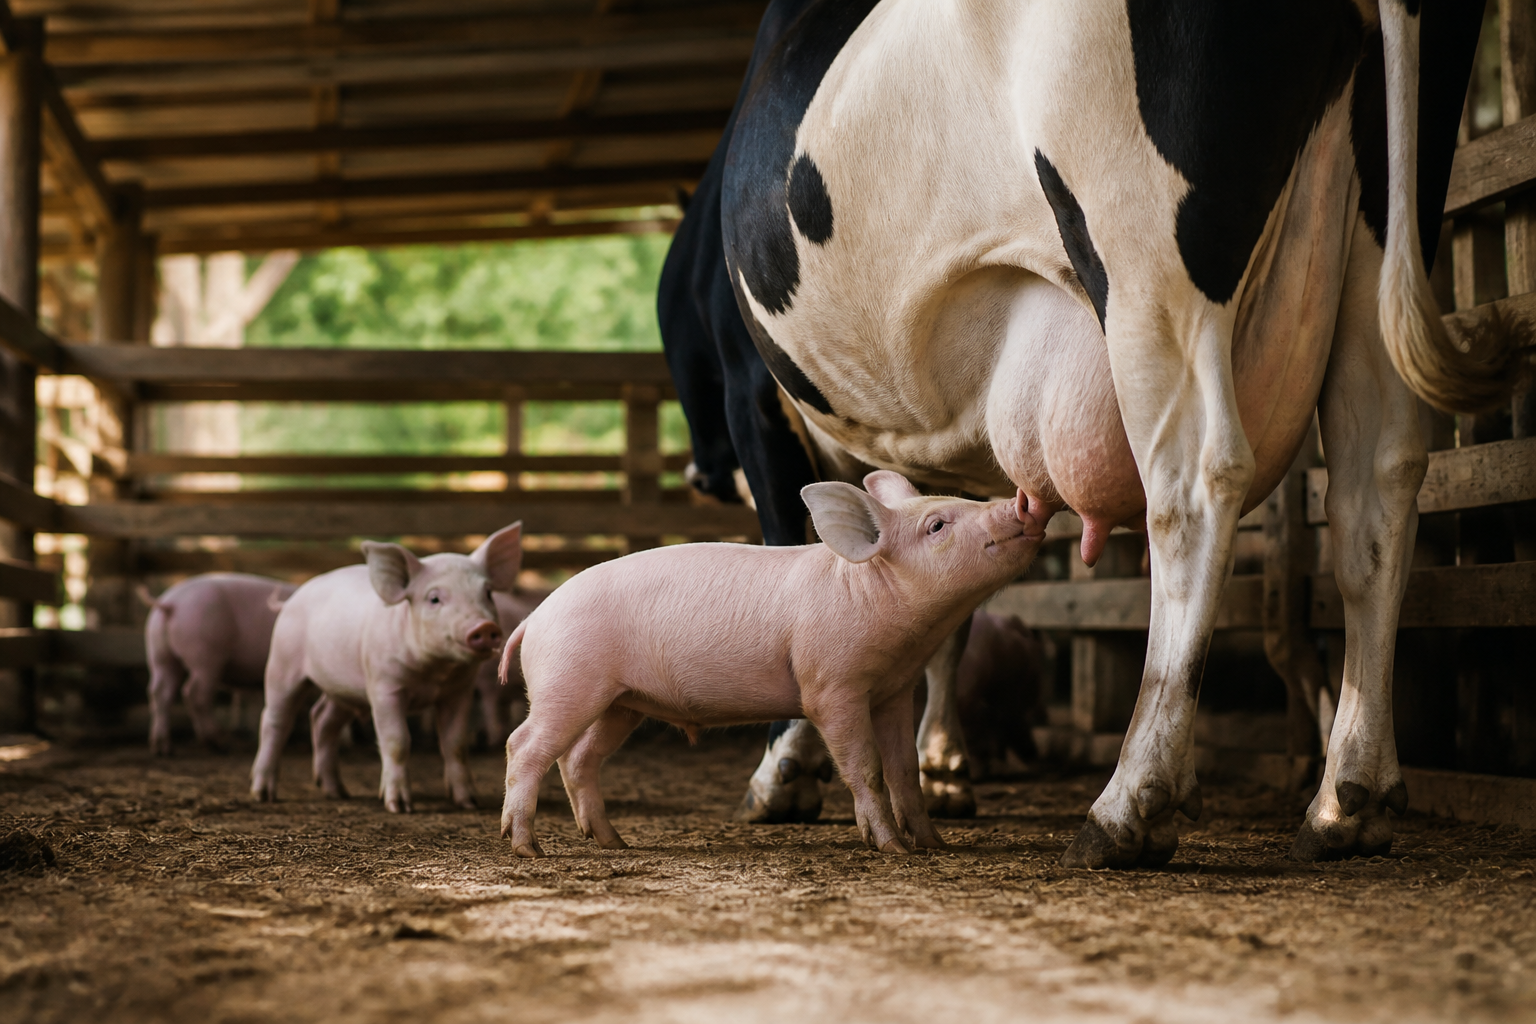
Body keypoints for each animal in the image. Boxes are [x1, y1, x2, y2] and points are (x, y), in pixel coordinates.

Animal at [663, 0, 1503, 866]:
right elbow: (942, 602)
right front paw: (941, 768)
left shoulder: (751, 392)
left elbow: (790, 549)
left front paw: (785, 773)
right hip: (1377, 226)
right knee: (1378, 482)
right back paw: (1346, 802)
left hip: (1145, 250)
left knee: (1196, 483)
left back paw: (1130, 801)